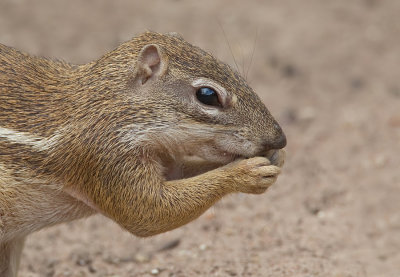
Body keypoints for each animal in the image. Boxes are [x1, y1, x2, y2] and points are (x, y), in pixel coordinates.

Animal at [0, 31, 288, 274]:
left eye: (233, 72)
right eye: (207, 95)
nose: (280, 139)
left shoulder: (164, 160)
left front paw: (276, 158)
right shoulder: (106, 155)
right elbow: (149, 211)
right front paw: (246, 172)